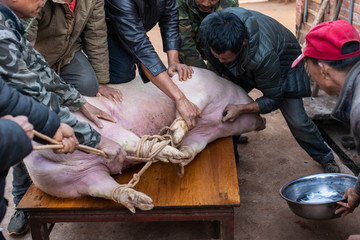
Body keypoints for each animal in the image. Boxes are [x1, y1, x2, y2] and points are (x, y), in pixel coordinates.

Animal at [24, 67, 264, 212]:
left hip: (69, 179)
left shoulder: (203, 134)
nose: (263, 120)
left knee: (104, 187)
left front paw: (182, 157)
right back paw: (165, 154)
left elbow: (193, 147)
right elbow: (186, 111)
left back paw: (143, 200)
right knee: (123, 141)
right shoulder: (197, 90)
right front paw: (175, 142)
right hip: (92, 122)